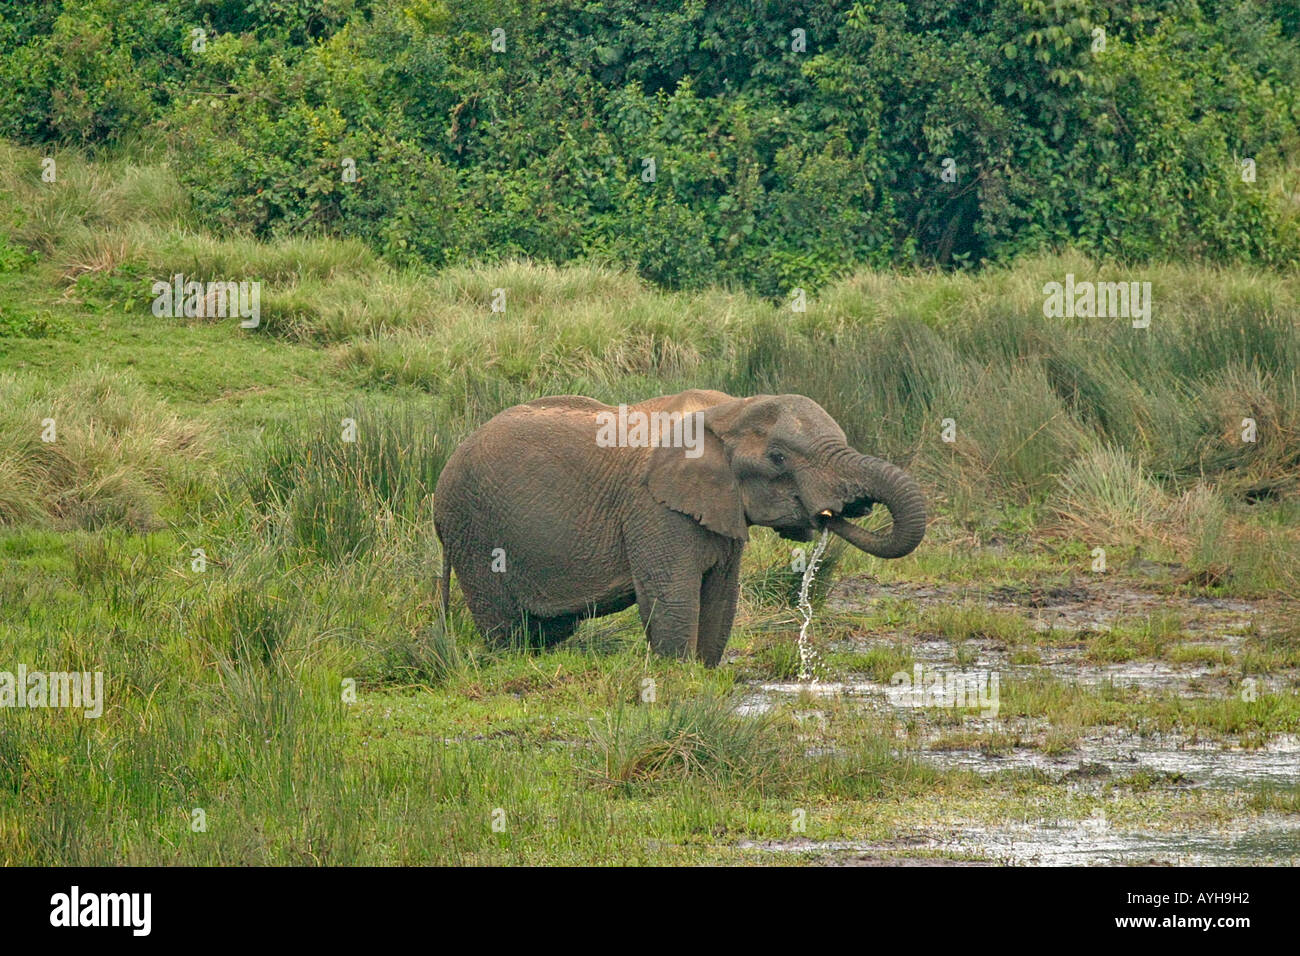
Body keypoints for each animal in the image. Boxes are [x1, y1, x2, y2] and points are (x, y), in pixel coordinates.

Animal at [434, 389, 926, 666]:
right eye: (778, 458)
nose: (840, 510)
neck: (727, 410)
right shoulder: (654, 508)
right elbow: (673, 596)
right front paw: (676, 677)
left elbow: (721, 597)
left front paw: (703, 675)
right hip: (472, 527)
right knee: (504, 624)